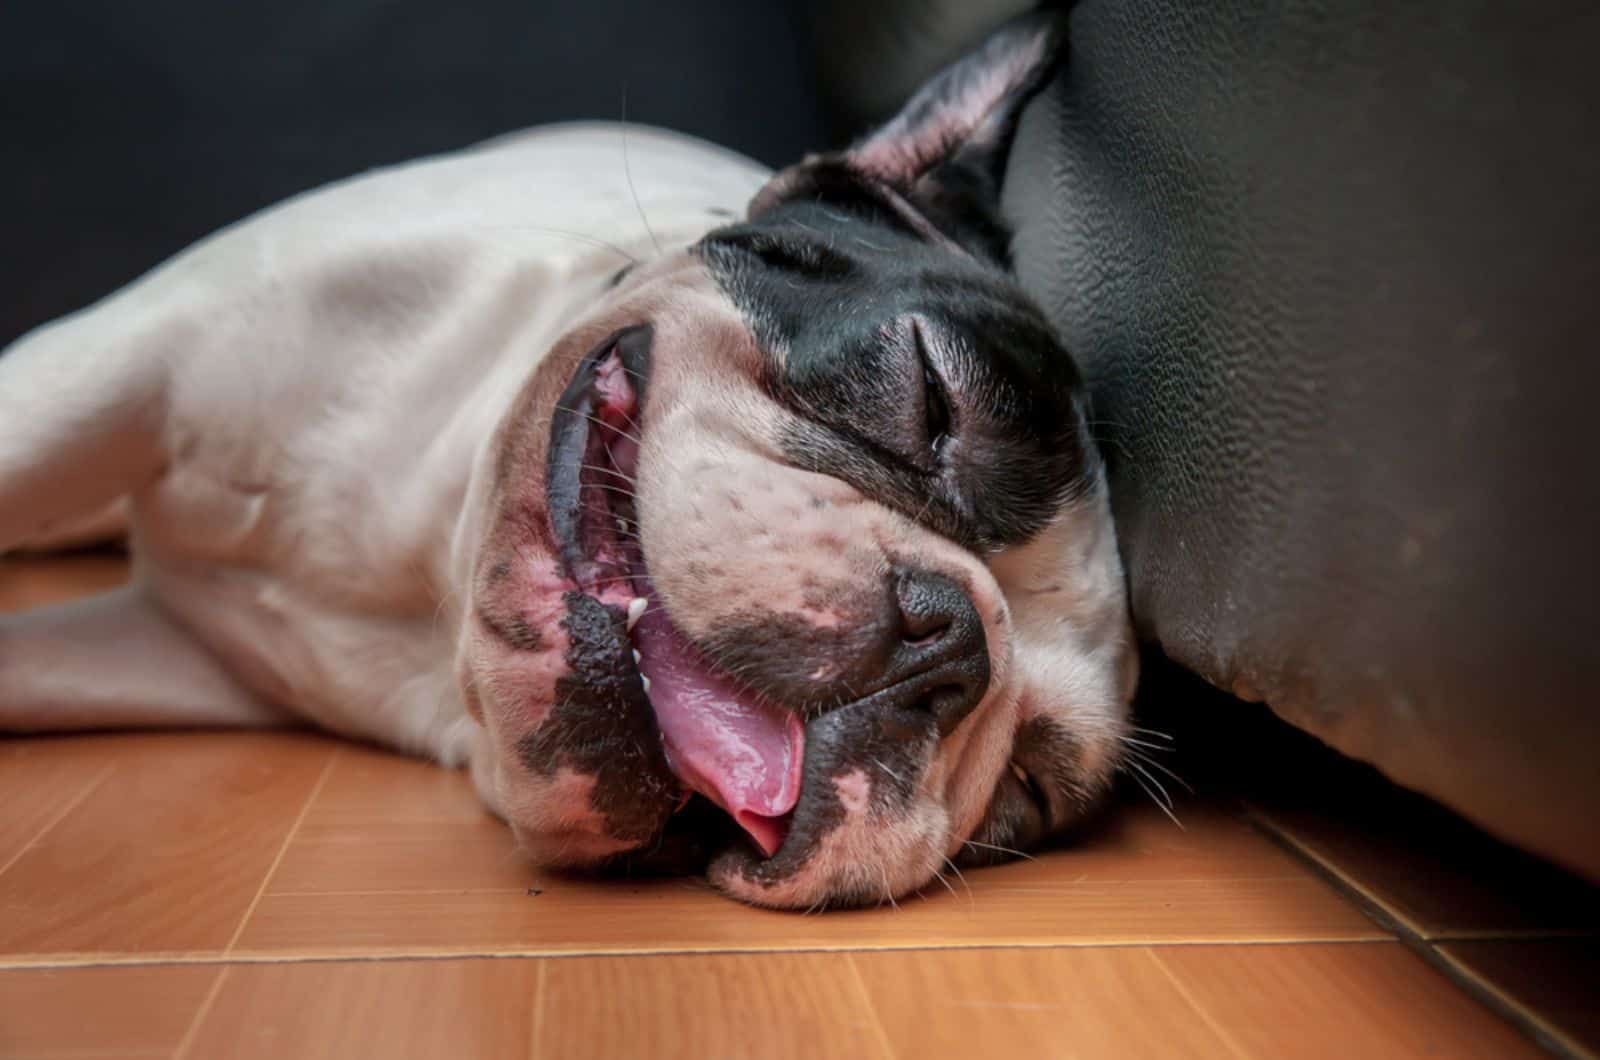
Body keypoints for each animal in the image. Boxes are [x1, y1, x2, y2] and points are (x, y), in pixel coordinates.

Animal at [0, 14, 1139, 915]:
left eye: (1029, 793)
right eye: (930, 398)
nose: (951, 643)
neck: (431, 559)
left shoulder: (159, 649)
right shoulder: (119, 364)